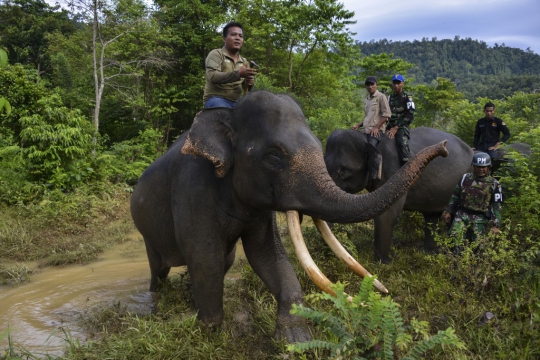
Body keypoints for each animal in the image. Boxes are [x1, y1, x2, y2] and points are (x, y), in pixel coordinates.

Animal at [131, 90, 448, 344]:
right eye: (273, 156)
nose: (444, 148)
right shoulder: (192, 189)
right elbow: (205, 257)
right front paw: (210, 334)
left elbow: (267, 254)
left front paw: (294, 340)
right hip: (146, 232)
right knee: (160, 269)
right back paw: (157, 300)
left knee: (226, 260)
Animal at [324, 126, 472, 262]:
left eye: (344, 171)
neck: (368, 139)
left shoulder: (393, 167)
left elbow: (388, 214)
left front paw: (384, 263)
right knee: (432, 216)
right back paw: (432, 253)